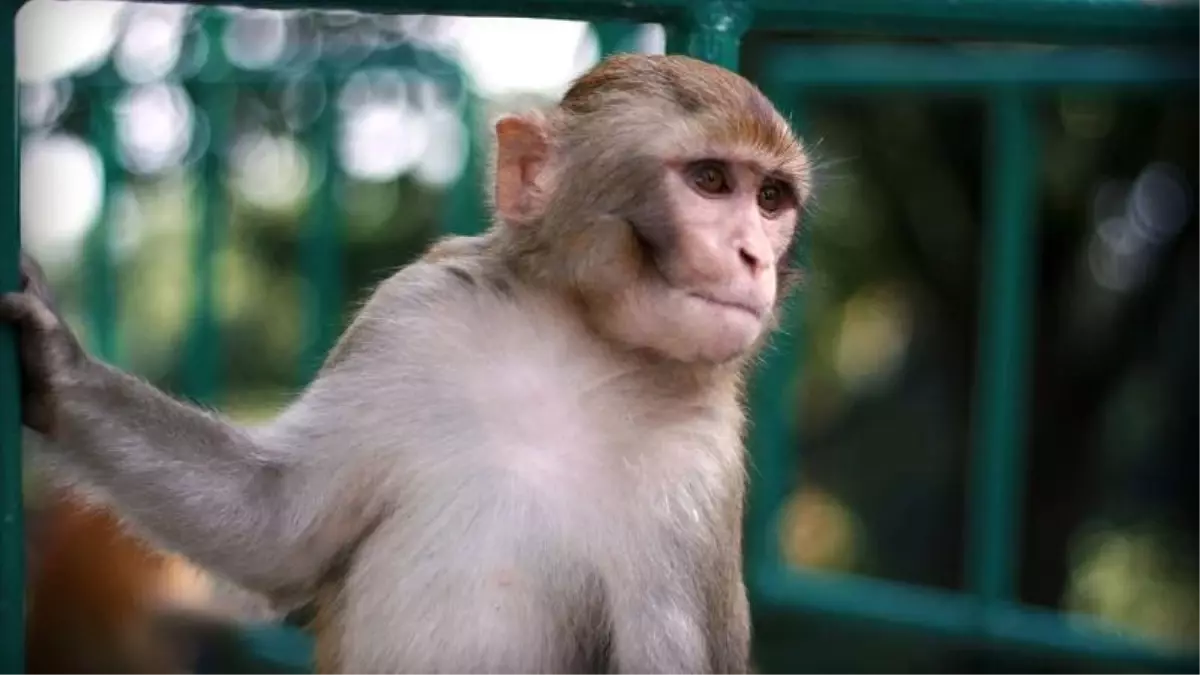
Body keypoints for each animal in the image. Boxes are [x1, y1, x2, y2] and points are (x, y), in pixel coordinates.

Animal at [0, 53, 811, 672]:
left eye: (771, 198)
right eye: (711, 181)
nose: (753, 255)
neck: (578, 349)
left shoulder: (697, 467)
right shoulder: (413, 317)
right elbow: (275, 523)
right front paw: (55, 366)